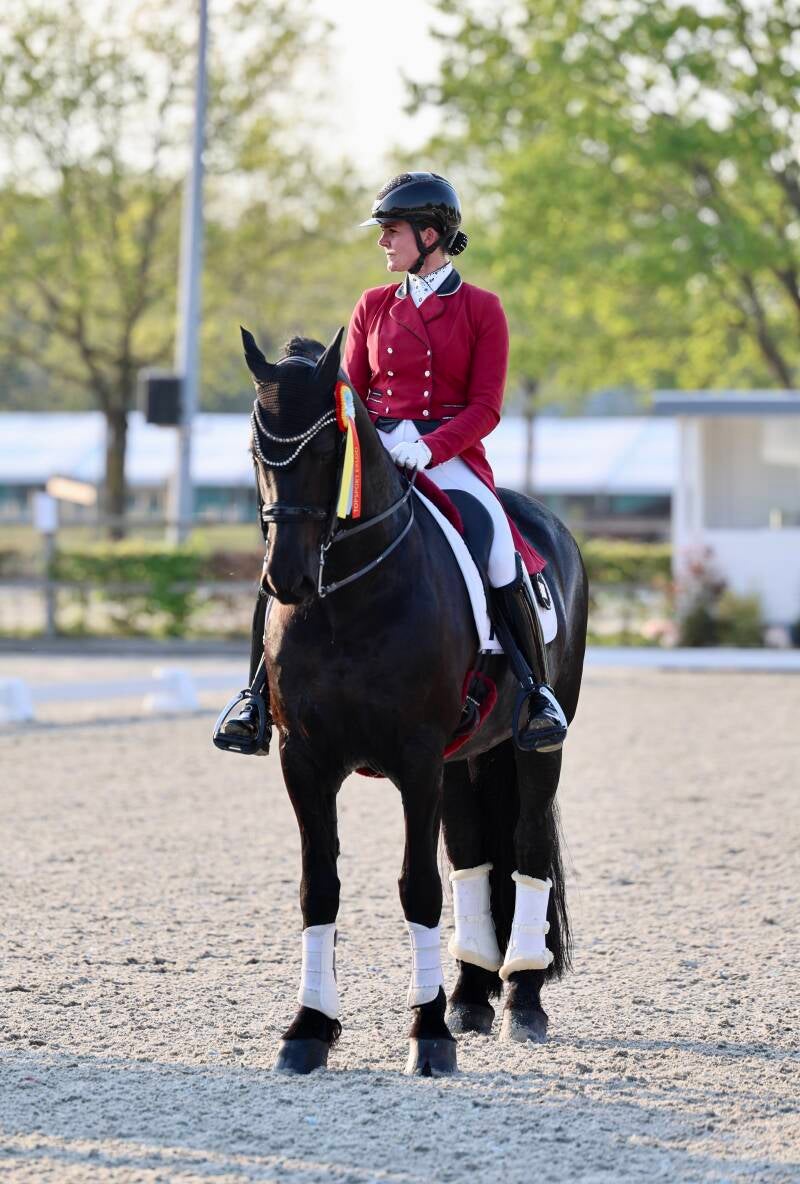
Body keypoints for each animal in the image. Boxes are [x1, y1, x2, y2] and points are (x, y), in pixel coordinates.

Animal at [237, 326, 588, 1074]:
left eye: (326, 450)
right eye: (258, 451)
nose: (285, 579)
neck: (345, 600)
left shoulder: (417, 758)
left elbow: (418, 886)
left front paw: (427, 1035)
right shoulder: (304, 761)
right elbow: (319, 888)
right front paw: (309, 1028)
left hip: (531, 749)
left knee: (526, 846)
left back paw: (521, 1000)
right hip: (463, 758)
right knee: (474, 853)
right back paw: (471, 994)